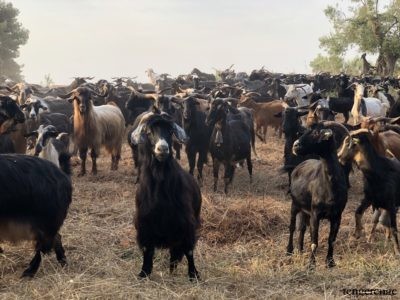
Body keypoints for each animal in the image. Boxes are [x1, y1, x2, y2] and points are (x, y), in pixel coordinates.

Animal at [130, 112, 202, 278]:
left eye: (170, 132)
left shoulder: (186, 223)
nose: (162, 148)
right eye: (149, 132)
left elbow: (189, 251)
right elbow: (147, 251)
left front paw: (194, 275)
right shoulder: (145, 224)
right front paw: (143, 273)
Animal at [288, 123, 350, 268]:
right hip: (294, 204)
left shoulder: (337, 215)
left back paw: (300, 251)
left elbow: (332, 240)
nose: (295, 145)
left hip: (305, 211)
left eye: (316, 133)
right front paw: (311, 264)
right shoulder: (315, 214)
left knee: (301, 228)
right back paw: (289, 250)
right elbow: (314, 241)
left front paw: (330, 262)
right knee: (292, 227)